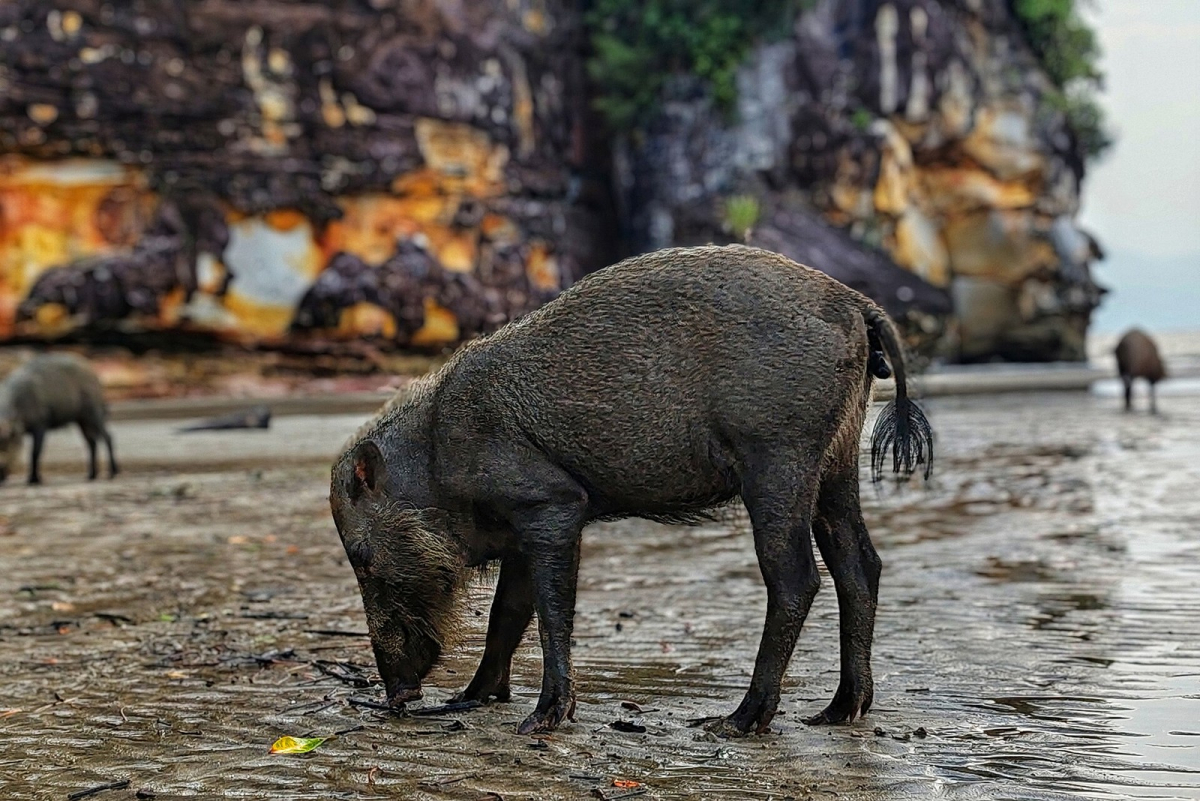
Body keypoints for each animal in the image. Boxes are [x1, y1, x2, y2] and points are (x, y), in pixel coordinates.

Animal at [0, 353, 119, 485]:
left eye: (7, 441)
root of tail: (94, 374)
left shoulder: (40, 425)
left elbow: (35, 452)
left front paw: (34, 480)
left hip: (94, 411)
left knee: (107, 437)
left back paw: (112, 473)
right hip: (82, 420)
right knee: (92, 442)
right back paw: (90, 476)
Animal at [329, 244, 933, 737]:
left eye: (361, 557)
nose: (397, 695)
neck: (436, 456)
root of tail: (855, 302)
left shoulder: (552, 504)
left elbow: (550, 611)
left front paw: (541, 721)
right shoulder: (525, 527)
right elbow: (507, 612)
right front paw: (467, 700)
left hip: (778, 458)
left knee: (796, 577)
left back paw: (733, 723)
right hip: (836, 463)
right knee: (860, 564)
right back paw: (837, 712)